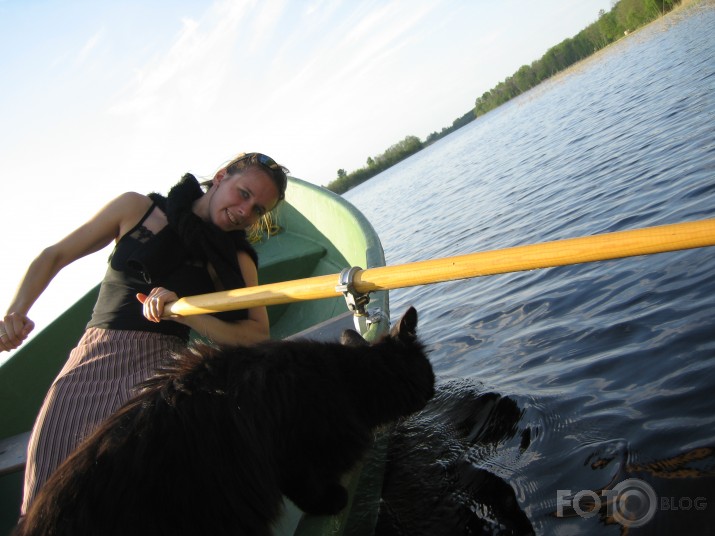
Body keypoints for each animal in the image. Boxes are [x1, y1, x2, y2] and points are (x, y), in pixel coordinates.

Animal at [16, 306, 434, 536]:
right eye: (428, 372)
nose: (433, 387)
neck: (346, 378)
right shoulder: (293, 453)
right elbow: (306, 488)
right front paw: (332, 501)